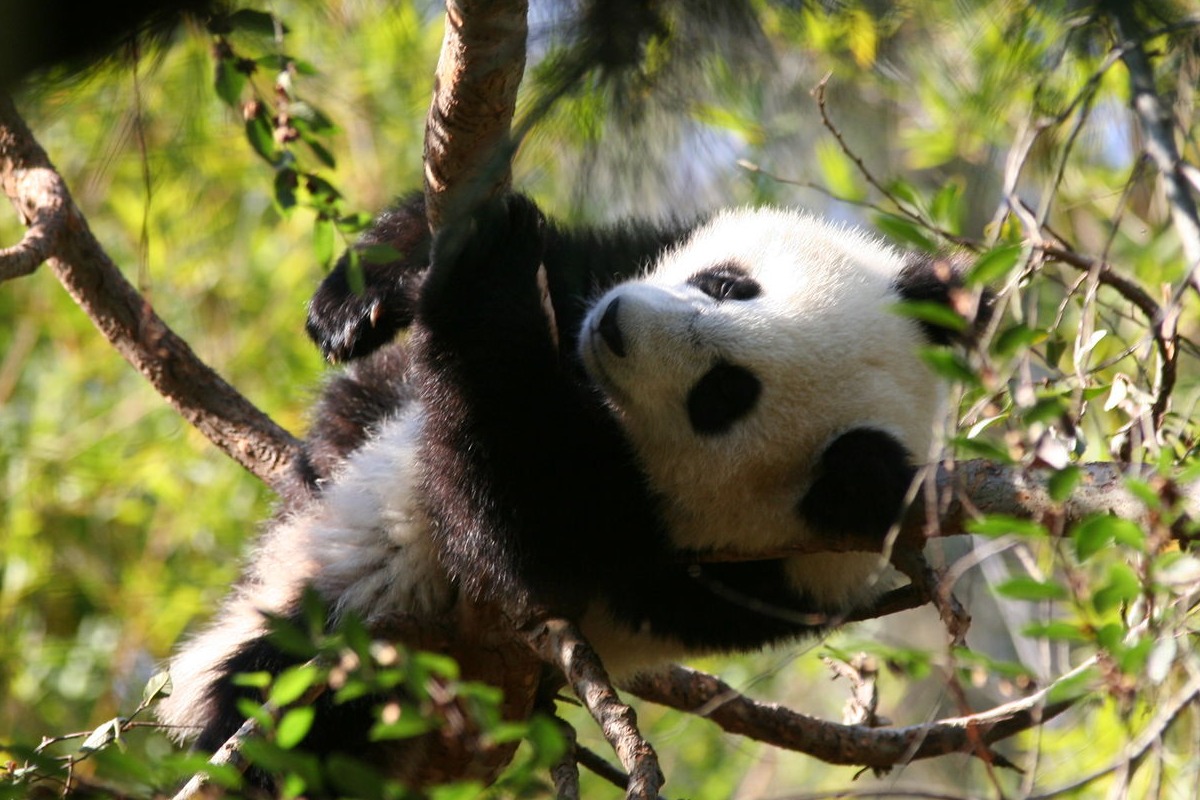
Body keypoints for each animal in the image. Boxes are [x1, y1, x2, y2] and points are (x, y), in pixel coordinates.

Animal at [157, 192, 978, 783]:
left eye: (722, 395)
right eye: (728, 285)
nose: (615, 323)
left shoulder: (671, 563)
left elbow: (509, 519)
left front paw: (488, 279)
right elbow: (568, 253)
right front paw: (367, 292)